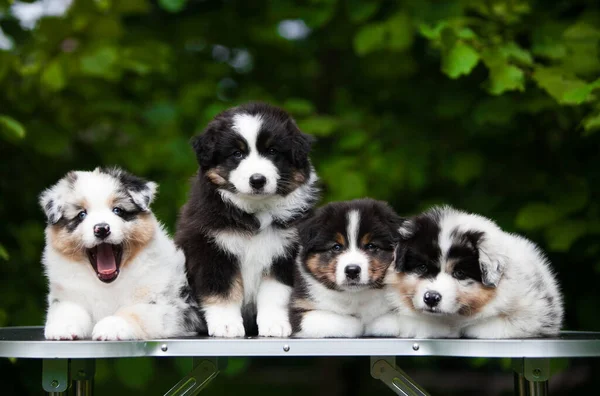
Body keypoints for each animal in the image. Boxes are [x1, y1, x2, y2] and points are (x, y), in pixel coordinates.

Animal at [39, 167, 202, 340]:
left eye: (117, 210)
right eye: (81, 215)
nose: (102, 228)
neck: (107, 285)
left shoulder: (165, 305)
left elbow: (134, 311)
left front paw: (111, 325)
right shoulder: (67, 295)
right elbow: (66, 309)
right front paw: (63, 327)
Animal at [177, 101, 322, 338]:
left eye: (272, 151)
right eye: (237, 154)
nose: (257, 180)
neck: (255, 211)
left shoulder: (284, 253)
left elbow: (275, 293)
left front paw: (275, 324)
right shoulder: (211, 249)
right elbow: (222, 291)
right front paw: (226, 325)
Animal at [290, 198, 404, 338]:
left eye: (371, 246)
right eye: (336, 247)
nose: (352, 271)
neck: (354, 296)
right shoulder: (299, 311)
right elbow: (340, 321)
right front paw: (359, 324)